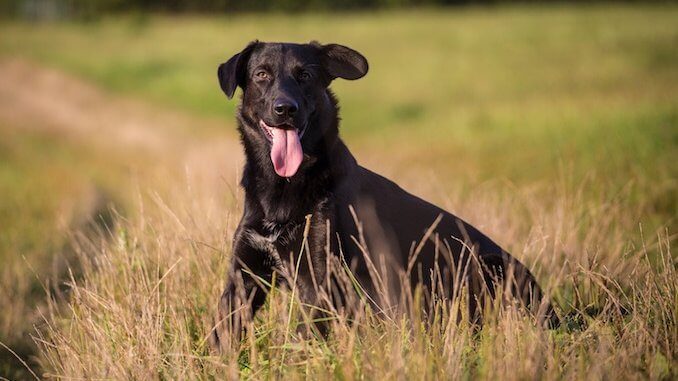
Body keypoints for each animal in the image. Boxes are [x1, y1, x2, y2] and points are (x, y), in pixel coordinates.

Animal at [211, 40, 556, 348]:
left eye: (305, 75)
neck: (282, 188)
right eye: (262, 74)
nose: (285, 109)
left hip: (489, 264)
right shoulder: (244, 276)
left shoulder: (319, 280)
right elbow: (222, 331)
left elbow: (300, 342)